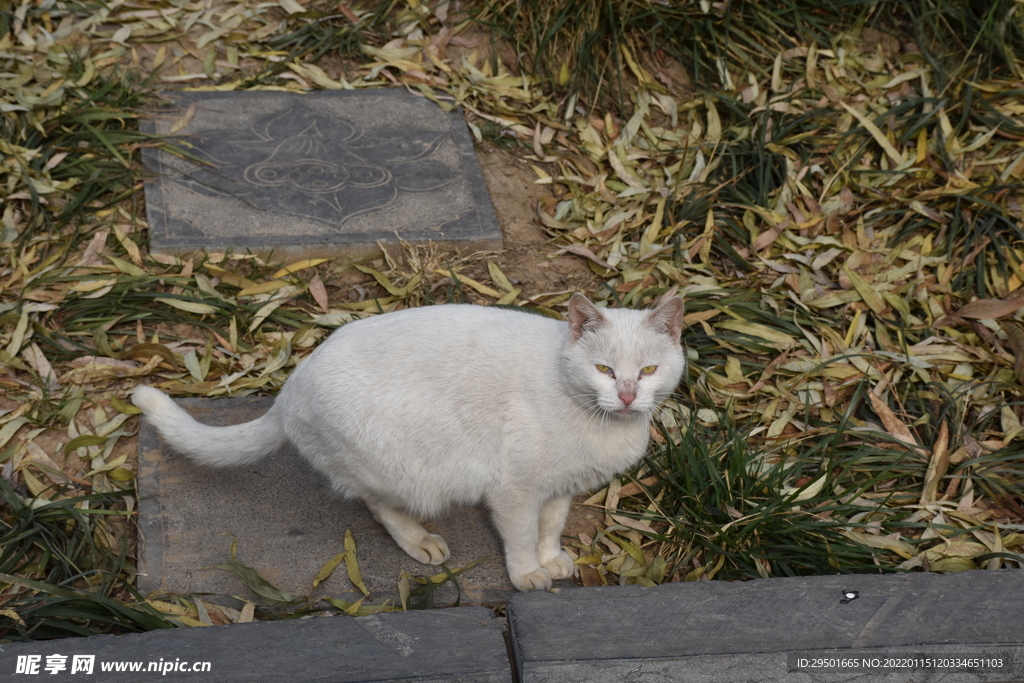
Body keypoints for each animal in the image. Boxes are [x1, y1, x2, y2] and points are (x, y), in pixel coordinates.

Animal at [132, 290, 684, 589]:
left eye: (648, 371)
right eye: (605, 370)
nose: (629, 395)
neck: (602, 425)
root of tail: (291, 385)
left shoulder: (560, 488)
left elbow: (551, 528)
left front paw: (554, 561)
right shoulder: (514, 491)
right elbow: (523, 536)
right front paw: (530, 573)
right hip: (403, 471)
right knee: (377, 504)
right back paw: (422, 542)